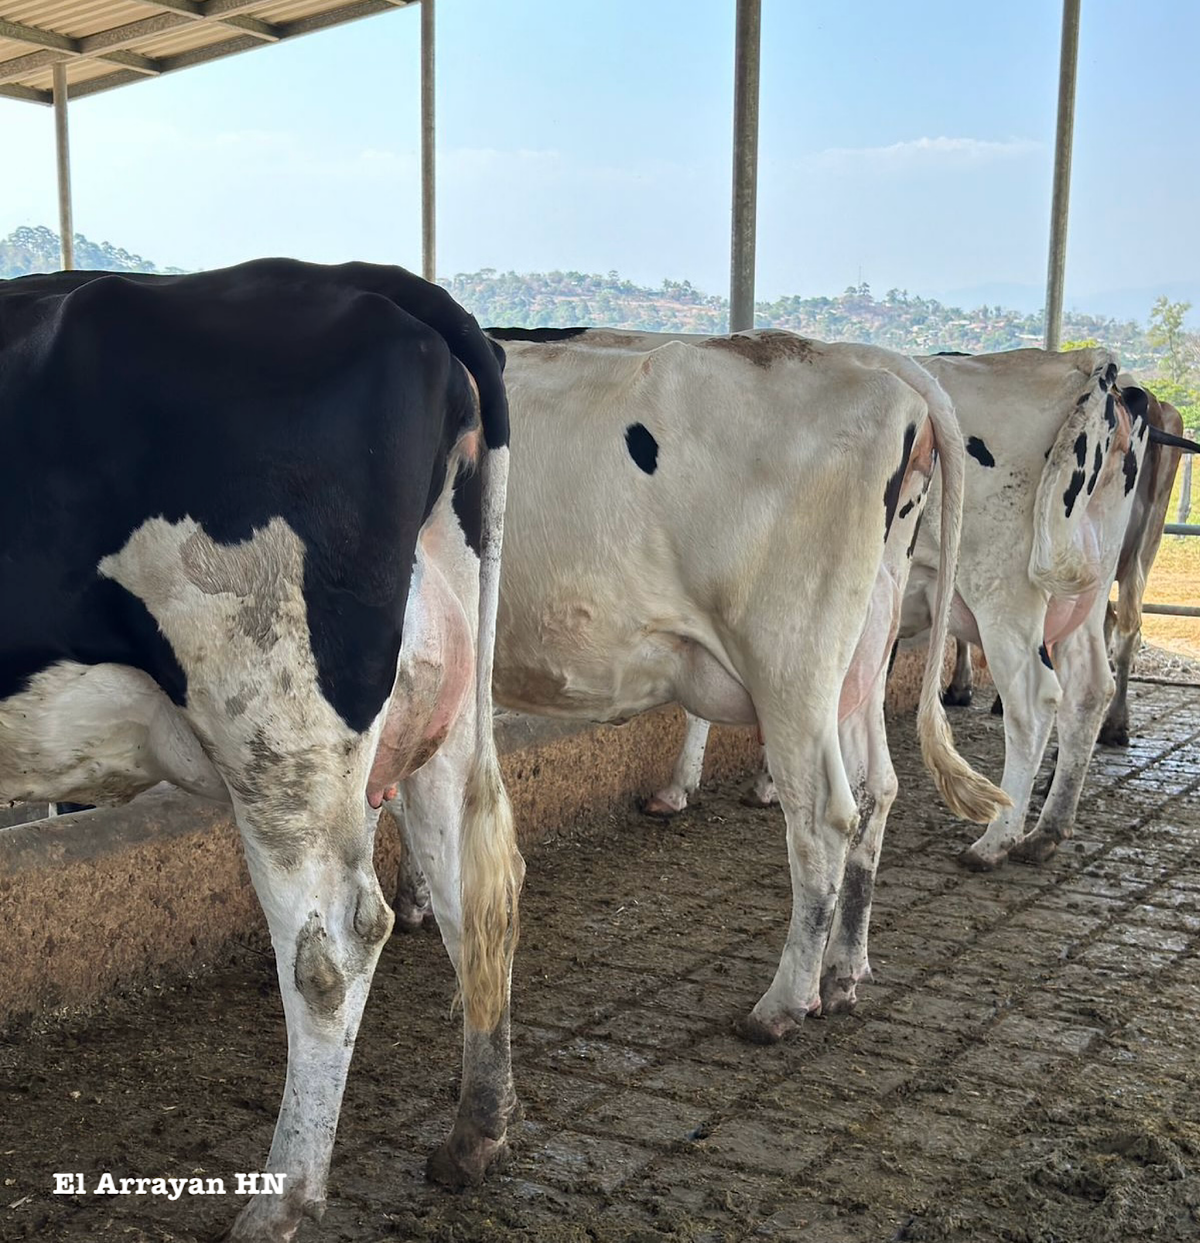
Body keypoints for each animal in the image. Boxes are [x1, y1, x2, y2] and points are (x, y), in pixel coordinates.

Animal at [0, 260, 524, 1241]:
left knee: (335, 947)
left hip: (277, 727)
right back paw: (474, 1133)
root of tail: (378, 285)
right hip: (440, 709)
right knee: (476, 890)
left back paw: (277, 1201)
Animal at [393, 327, 1008, 1036]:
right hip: (860, 657)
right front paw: (414, 894)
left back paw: (783, 1003)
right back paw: (843, 972)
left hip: (791, 662)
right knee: (876, 788)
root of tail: (870, 366)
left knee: (826, 816)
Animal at [657, 346, 1164, 874]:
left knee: (1034, 702)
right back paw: (1047, 829)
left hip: (1004, 595)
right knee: (1090, 687)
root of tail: (1087, 363)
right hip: (1086, 591)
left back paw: (995, 840)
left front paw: (685, 786)